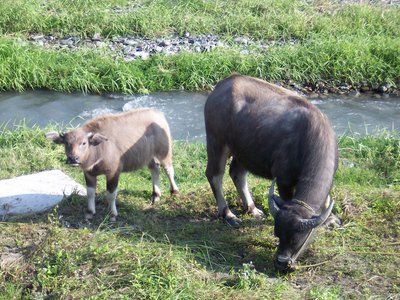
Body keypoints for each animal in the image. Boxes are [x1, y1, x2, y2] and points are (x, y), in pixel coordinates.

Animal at [46, 108, 179, 220]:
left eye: (83, 143)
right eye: (66, 143)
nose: (73, 159)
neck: (98, 150)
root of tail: (158, 113)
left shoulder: (113, 172)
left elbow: (111, 194)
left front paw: (113, 214)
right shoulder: (89, 173)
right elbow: (90, 193)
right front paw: (90, 212)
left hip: (164, 151)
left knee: (168, 169)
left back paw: (174, 191)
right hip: (149, 156)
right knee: (154, 169)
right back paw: (155, 195)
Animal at [203, 74, 338, 272]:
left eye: (297, 239)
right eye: (277, 234)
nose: (281, 262)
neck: (308, 139)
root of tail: (221, 86)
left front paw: (332, 219)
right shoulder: (283, 180)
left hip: (243, 151)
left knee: (237, 174)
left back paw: (252, 208)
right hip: (217, 142)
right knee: (214, 175)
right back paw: (229, 215)